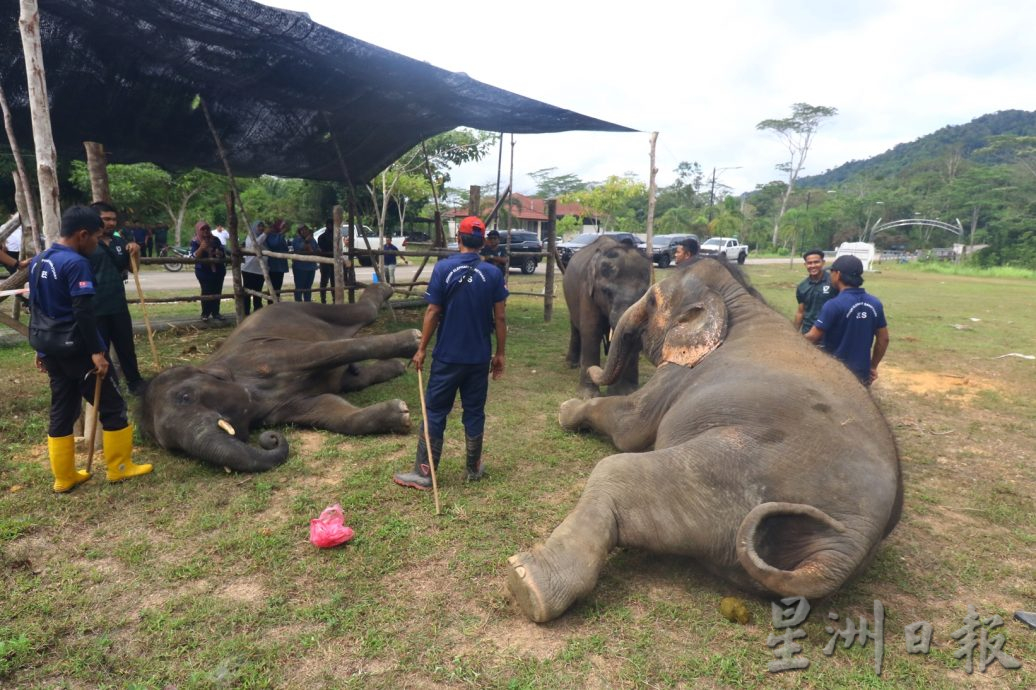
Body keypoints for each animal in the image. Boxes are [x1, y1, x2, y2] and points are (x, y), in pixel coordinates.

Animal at [139, 281, 418, 470]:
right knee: (352, 380)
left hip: (302, 307)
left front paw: (414, 341)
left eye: (185, 396)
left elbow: (324, 352)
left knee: (363, 314)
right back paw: (396, 367)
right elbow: (329, 409)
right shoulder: (277, 409)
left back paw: (385, 290)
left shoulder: (267, 353)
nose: (271, 439)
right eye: (173, 448)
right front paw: (401, 414)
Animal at [505, 259, 903, 621]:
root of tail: (848, 544)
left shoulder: (679, 373)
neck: (738, 300)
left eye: (652, 300)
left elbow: (630, 425)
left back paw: (528, 582)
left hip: (725, 474)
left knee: (616, 473)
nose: (588, 367)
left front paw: (565, 411)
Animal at [563, 235, 650, 395]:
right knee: (575, 328)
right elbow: (591, 331)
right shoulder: (587, 291)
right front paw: (588, 395)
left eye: (643, 293)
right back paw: (572, 364)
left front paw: (624, 392)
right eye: (607, 292)